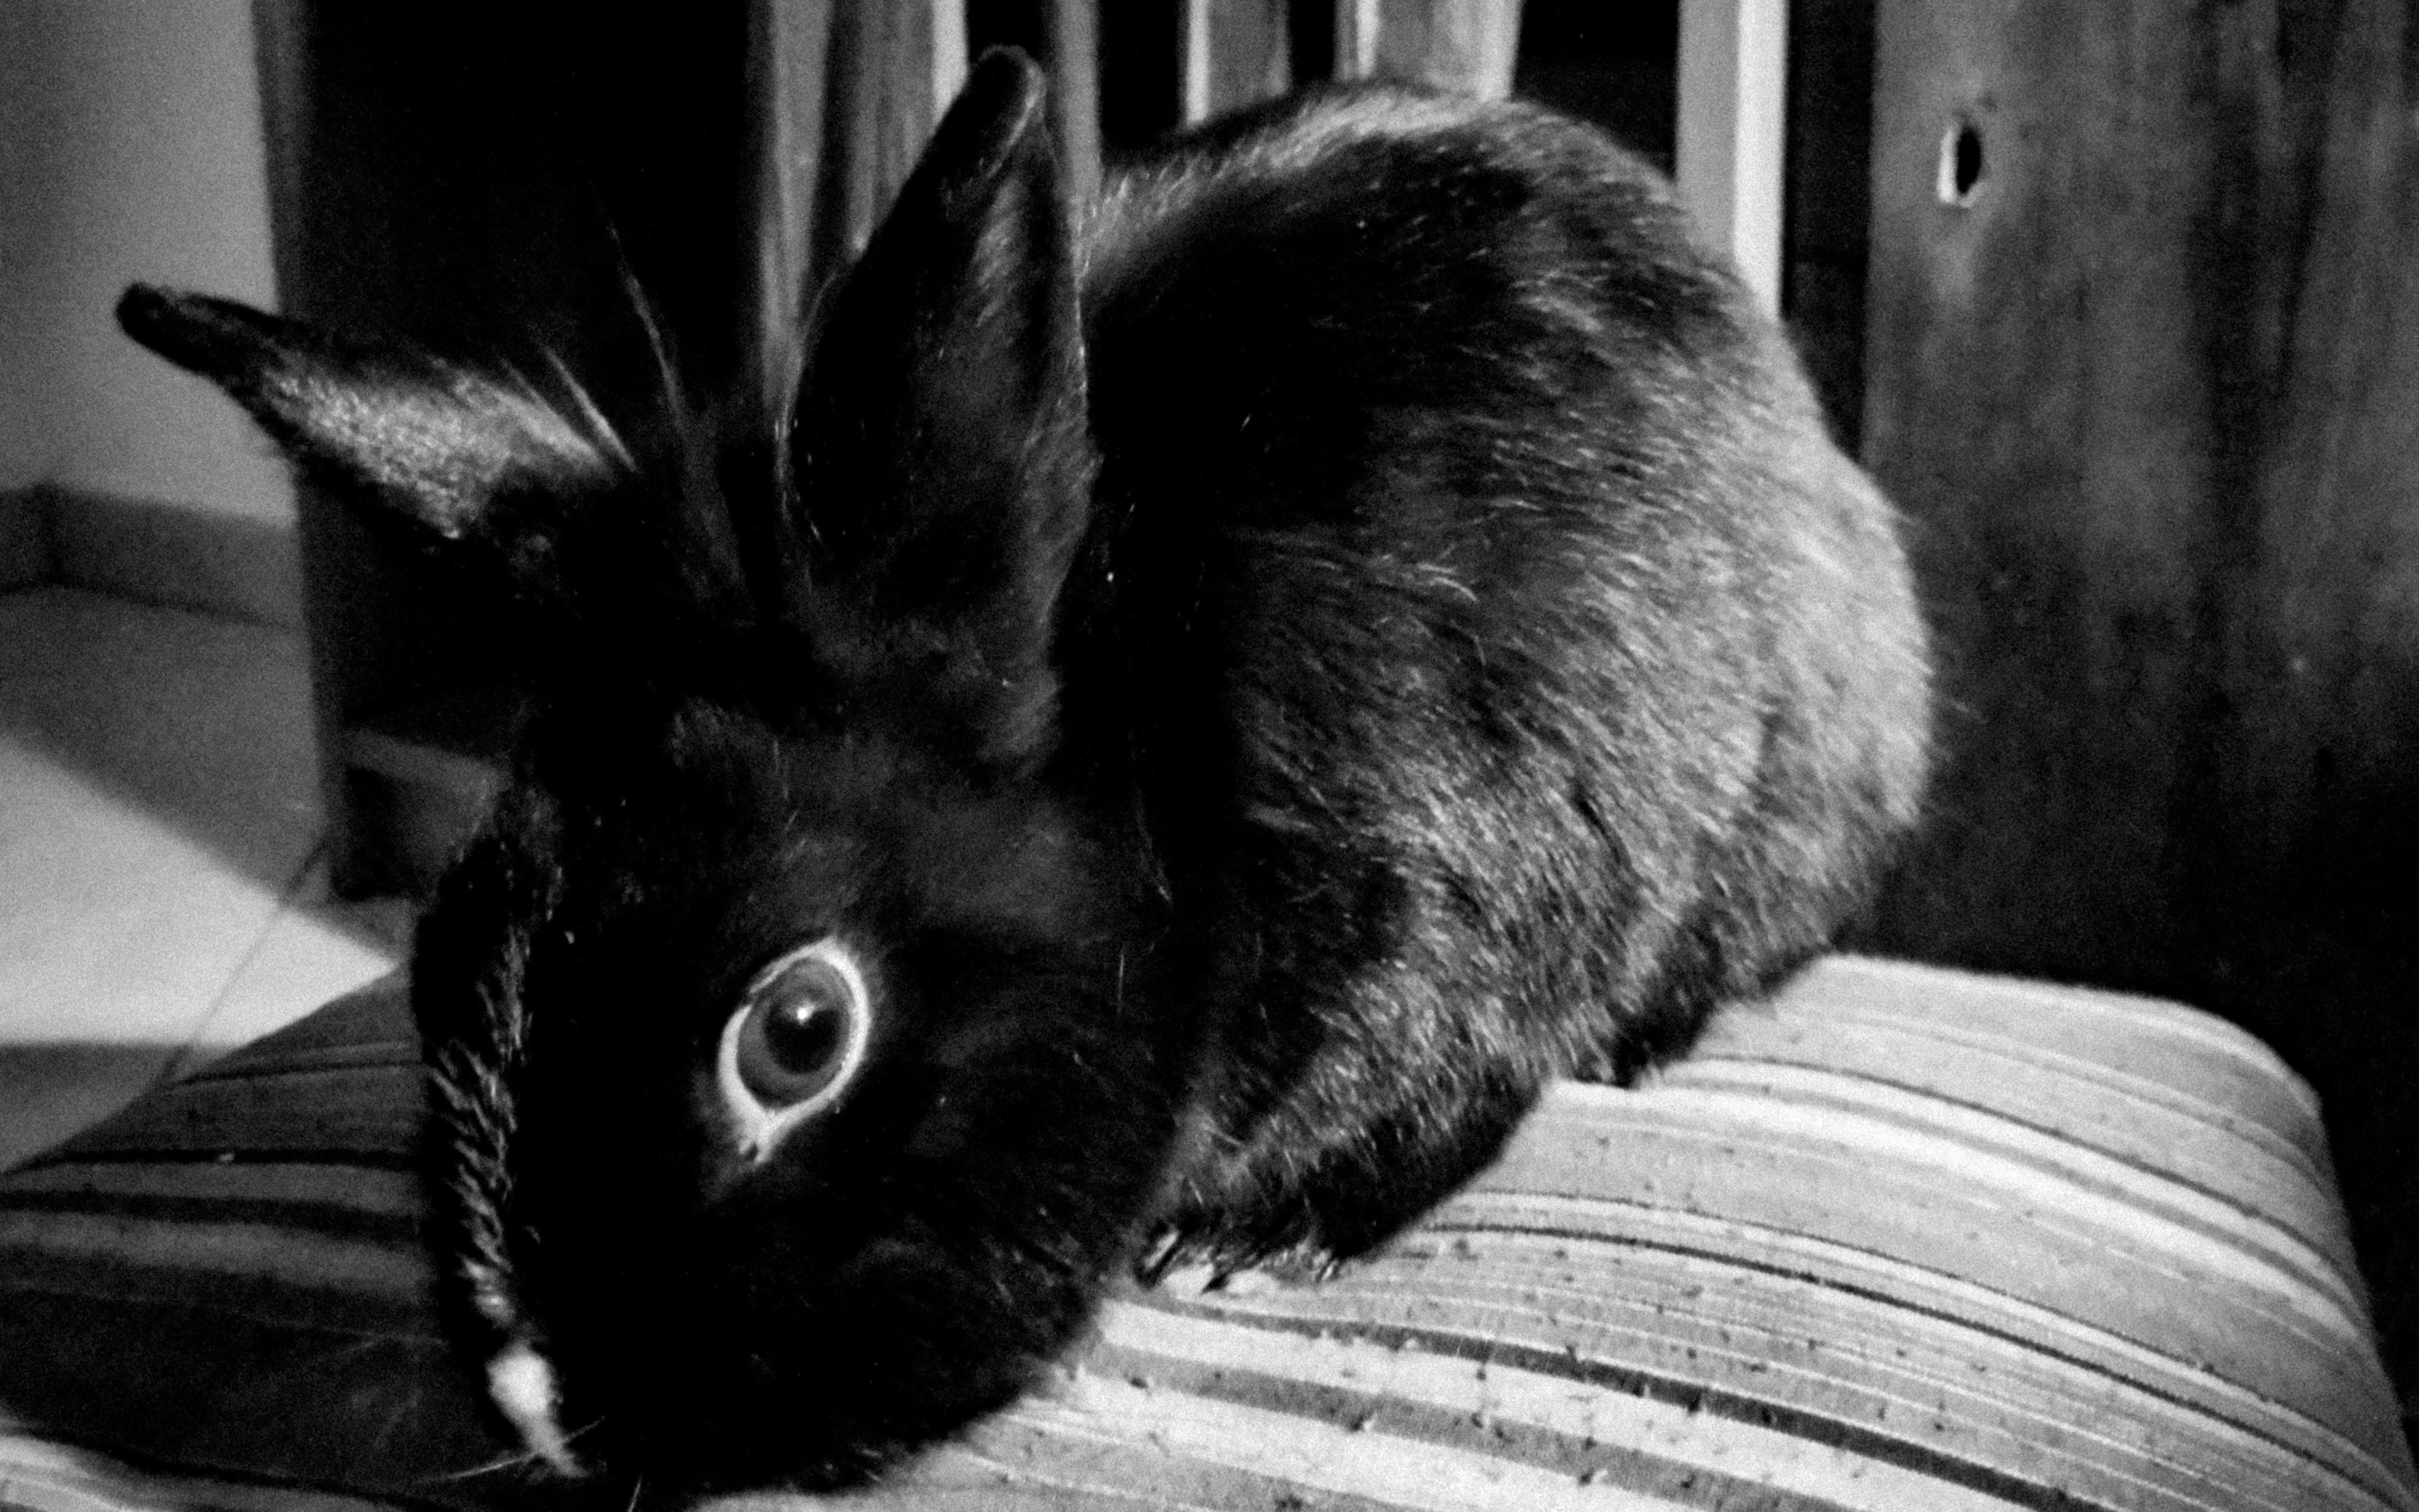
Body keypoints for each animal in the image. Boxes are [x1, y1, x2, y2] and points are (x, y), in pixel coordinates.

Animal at [118, 46, 1930, 1502]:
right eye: (435, 958)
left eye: (797, 1032)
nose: (555, 1410)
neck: (1163, 744)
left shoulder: (1488, 897)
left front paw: (1244, 1251)